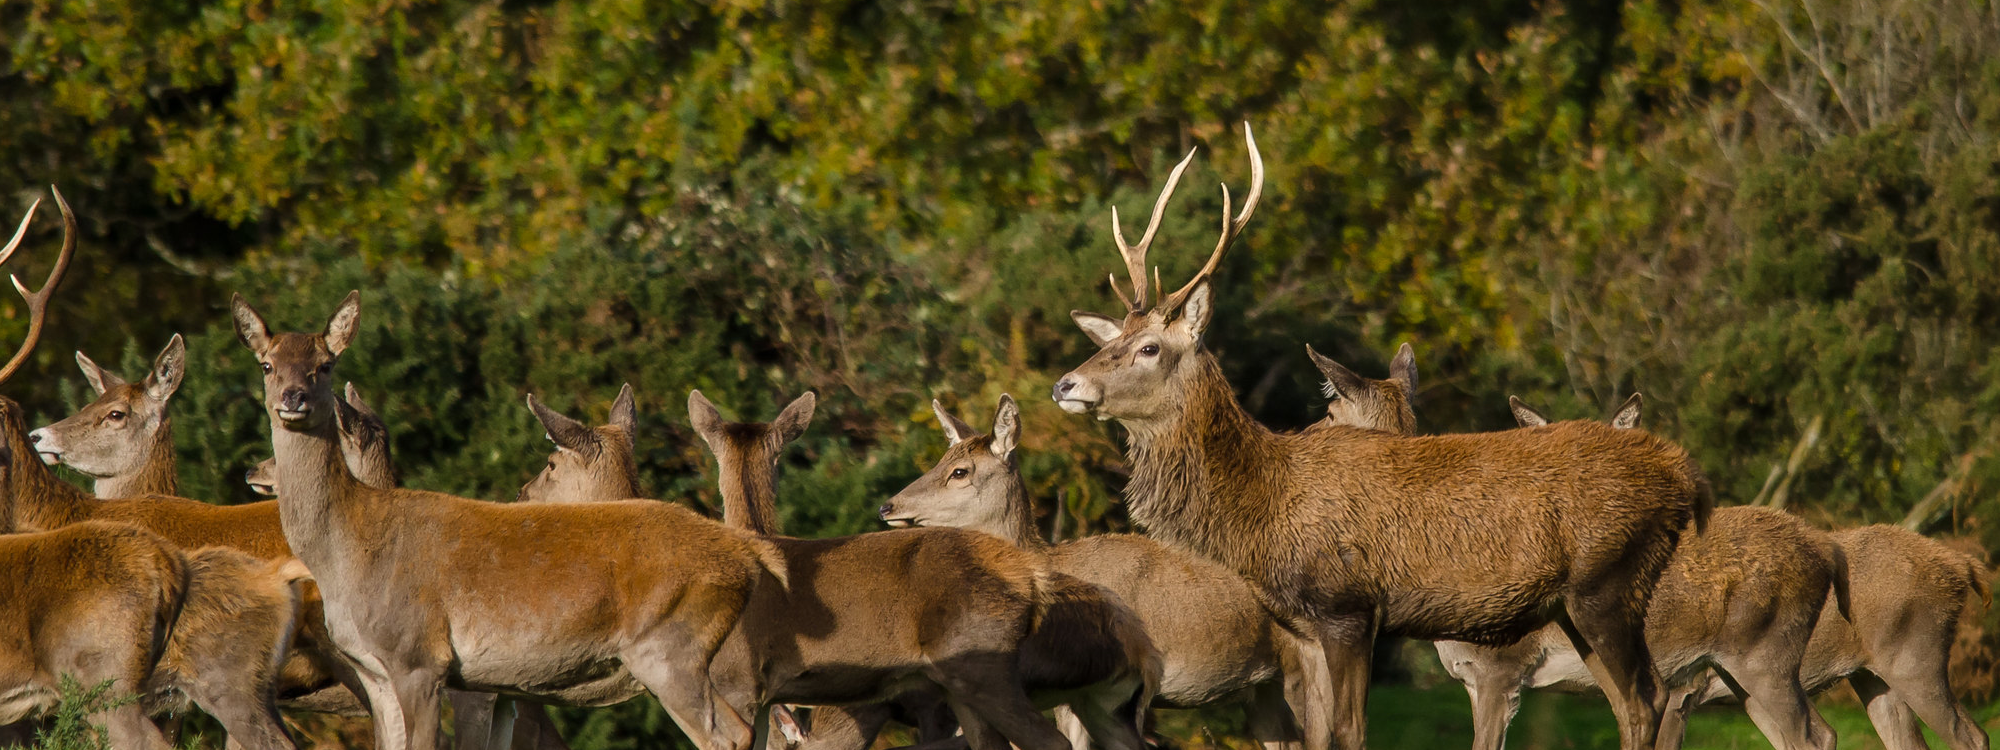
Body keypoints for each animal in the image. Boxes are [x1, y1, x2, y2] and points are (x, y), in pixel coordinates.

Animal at [236, 294, 788, 750]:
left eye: (325, 364)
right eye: (267, 364)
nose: (292, 398)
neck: (349, 547)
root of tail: (750, 556)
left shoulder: (421, 658)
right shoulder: (376, 673)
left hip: (673, 649)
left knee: (728, 734)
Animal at [1056, 125, 1712, 750]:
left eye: (1148, 347)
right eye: (1111, 341)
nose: (1066, 383)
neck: (1264, 507)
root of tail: (1684, 476)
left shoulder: (1349, 605)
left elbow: (1351, 733)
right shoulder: (1304, 630)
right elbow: (1318, 737)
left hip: (1608, 581)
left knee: (1649, 699)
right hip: (1581, 605)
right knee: (1632, 705)